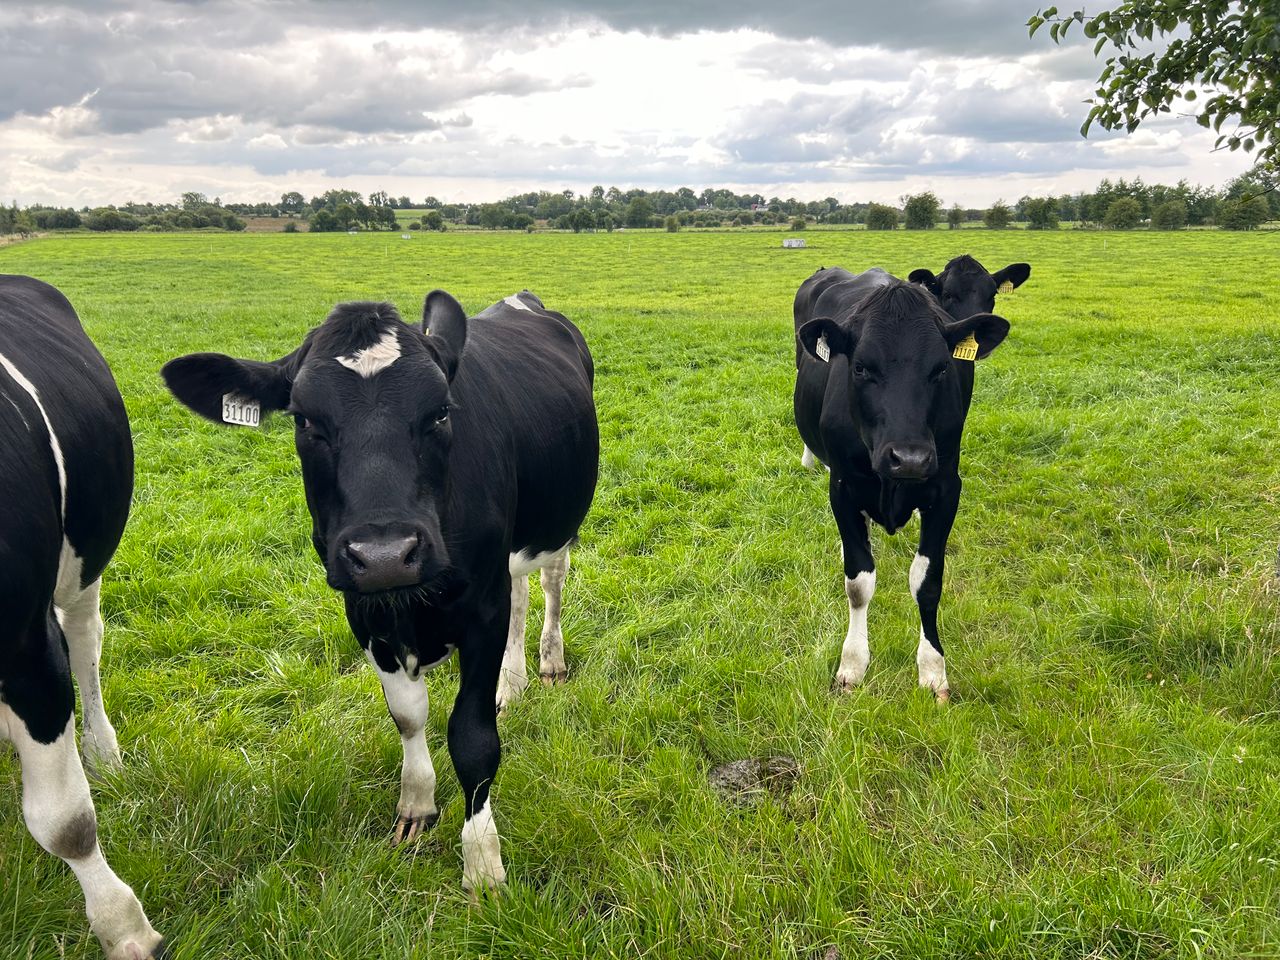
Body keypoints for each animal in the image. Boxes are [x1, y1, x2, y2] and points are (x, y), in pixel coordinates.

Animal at [160, 288, 599, 892]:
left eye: (441, 412)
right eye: (305, 420)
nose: (386, 554)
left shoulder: (481, 612)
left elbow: (472, 737)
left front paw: (482, 865)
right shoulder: (365, 614)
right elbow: (408, 715)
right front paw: (416, 806)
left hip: (556, 520)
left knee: (550, 580)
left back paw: (549, 662)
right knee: (521, 590)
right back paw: (512, 683)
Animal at [792, 271, 1009, 701]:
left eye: (941, 368)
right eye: (860, 368)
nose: (909, 458)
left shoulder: (946, 490)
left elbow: (927, 582)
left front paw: (933, 669)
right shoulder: (842, 487)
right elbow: (858, 582)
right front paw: (853, 664)